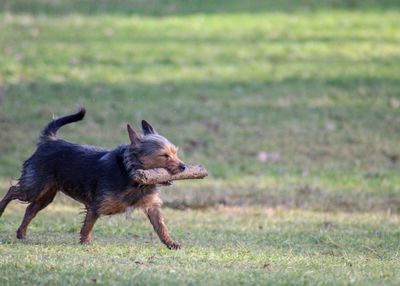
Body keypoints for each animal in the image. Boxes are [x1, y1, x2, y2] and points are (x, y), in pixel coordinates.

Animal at [0, 108, 186, 249]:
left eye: (175, 153)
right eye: (164, 156)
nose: (183, 167)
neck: (132, 176)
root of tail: (49, 140)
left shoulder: (151, 206)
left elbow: (161, 226)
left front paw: (170, 243)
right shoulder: (97, 205)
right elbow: (89, 223)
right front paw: (85, 241)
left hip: (46, 195)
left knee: (30, 209)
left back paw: (21, 233)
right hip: (34, 187)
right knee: (12, 190)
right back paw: (1, 209)